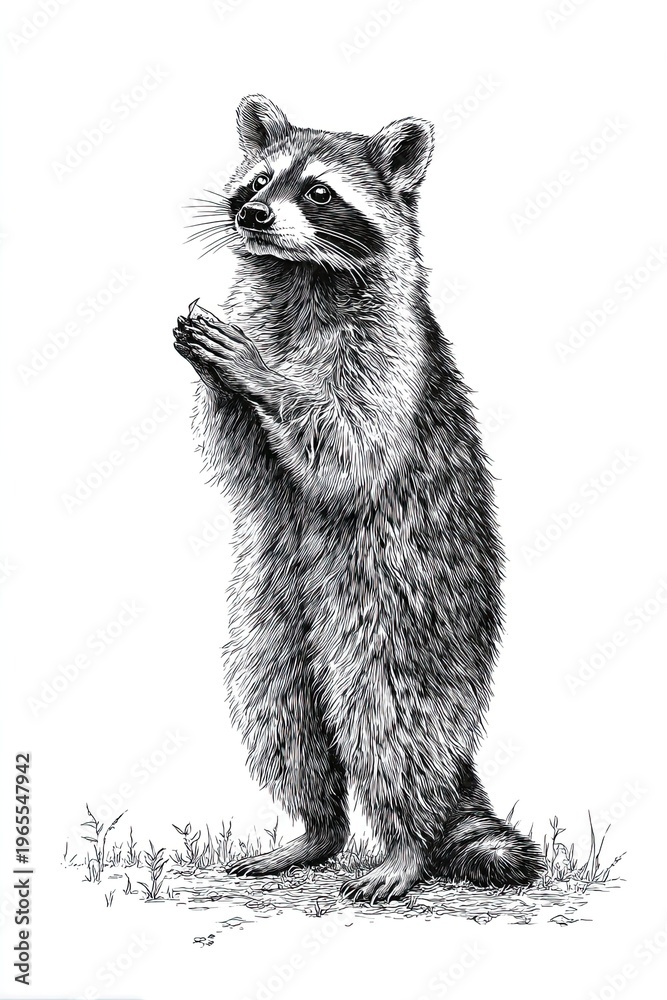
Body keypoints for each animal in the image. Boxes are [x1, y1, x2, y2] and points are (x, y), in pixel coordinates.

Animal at [174, 95, 543, 901]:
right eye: (259, 179)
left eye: (318, 192)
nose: (250, 213)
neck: (302, 276)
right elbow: (240, 458)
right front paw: (222, 376)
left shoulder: (392, 352)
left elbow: (351, 447)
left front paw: (260, 372)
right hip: (267, 616)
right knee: (279, 710)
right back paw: (316, 830)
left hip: (400, 612)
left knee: (391, 724)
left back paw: (407, 844)